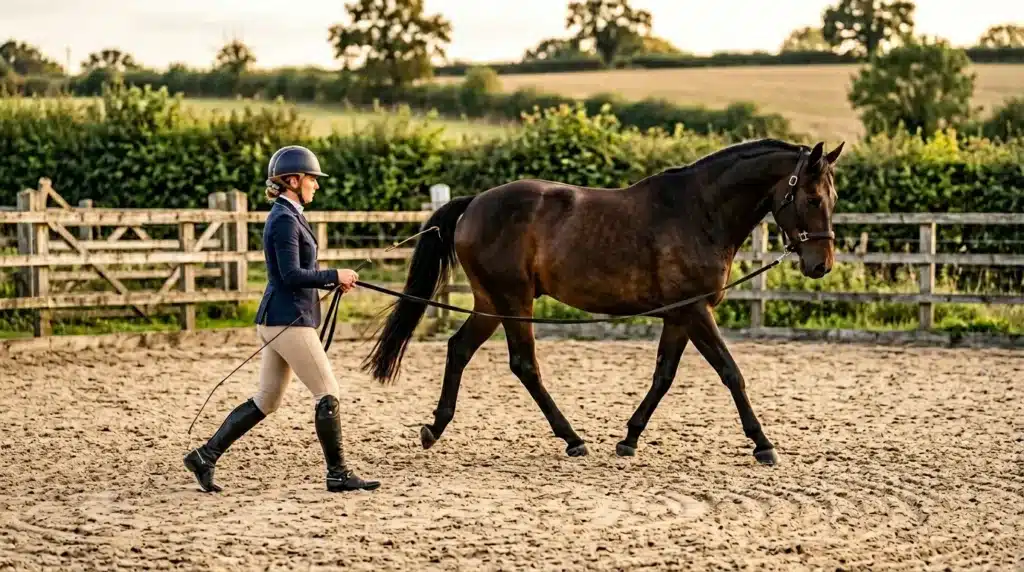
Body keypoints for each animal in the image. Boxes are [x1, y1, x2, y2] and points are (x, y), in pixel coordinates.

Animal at [361, 137, 844, 466]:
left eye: (833, 197)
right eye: (812, 197)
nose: (821, 265)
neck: (699, 212)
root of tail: (475, 202)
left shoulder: (678, 316)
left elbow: (664, 376)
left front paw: (629, 439)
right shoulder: (695, 310)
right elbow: (731, 373)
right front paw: (763, 444)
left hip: (490, 302)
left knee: (459, 348)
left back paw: (435, 427)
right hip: (514, 301)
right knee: (524, 365)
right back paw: (572, 438)